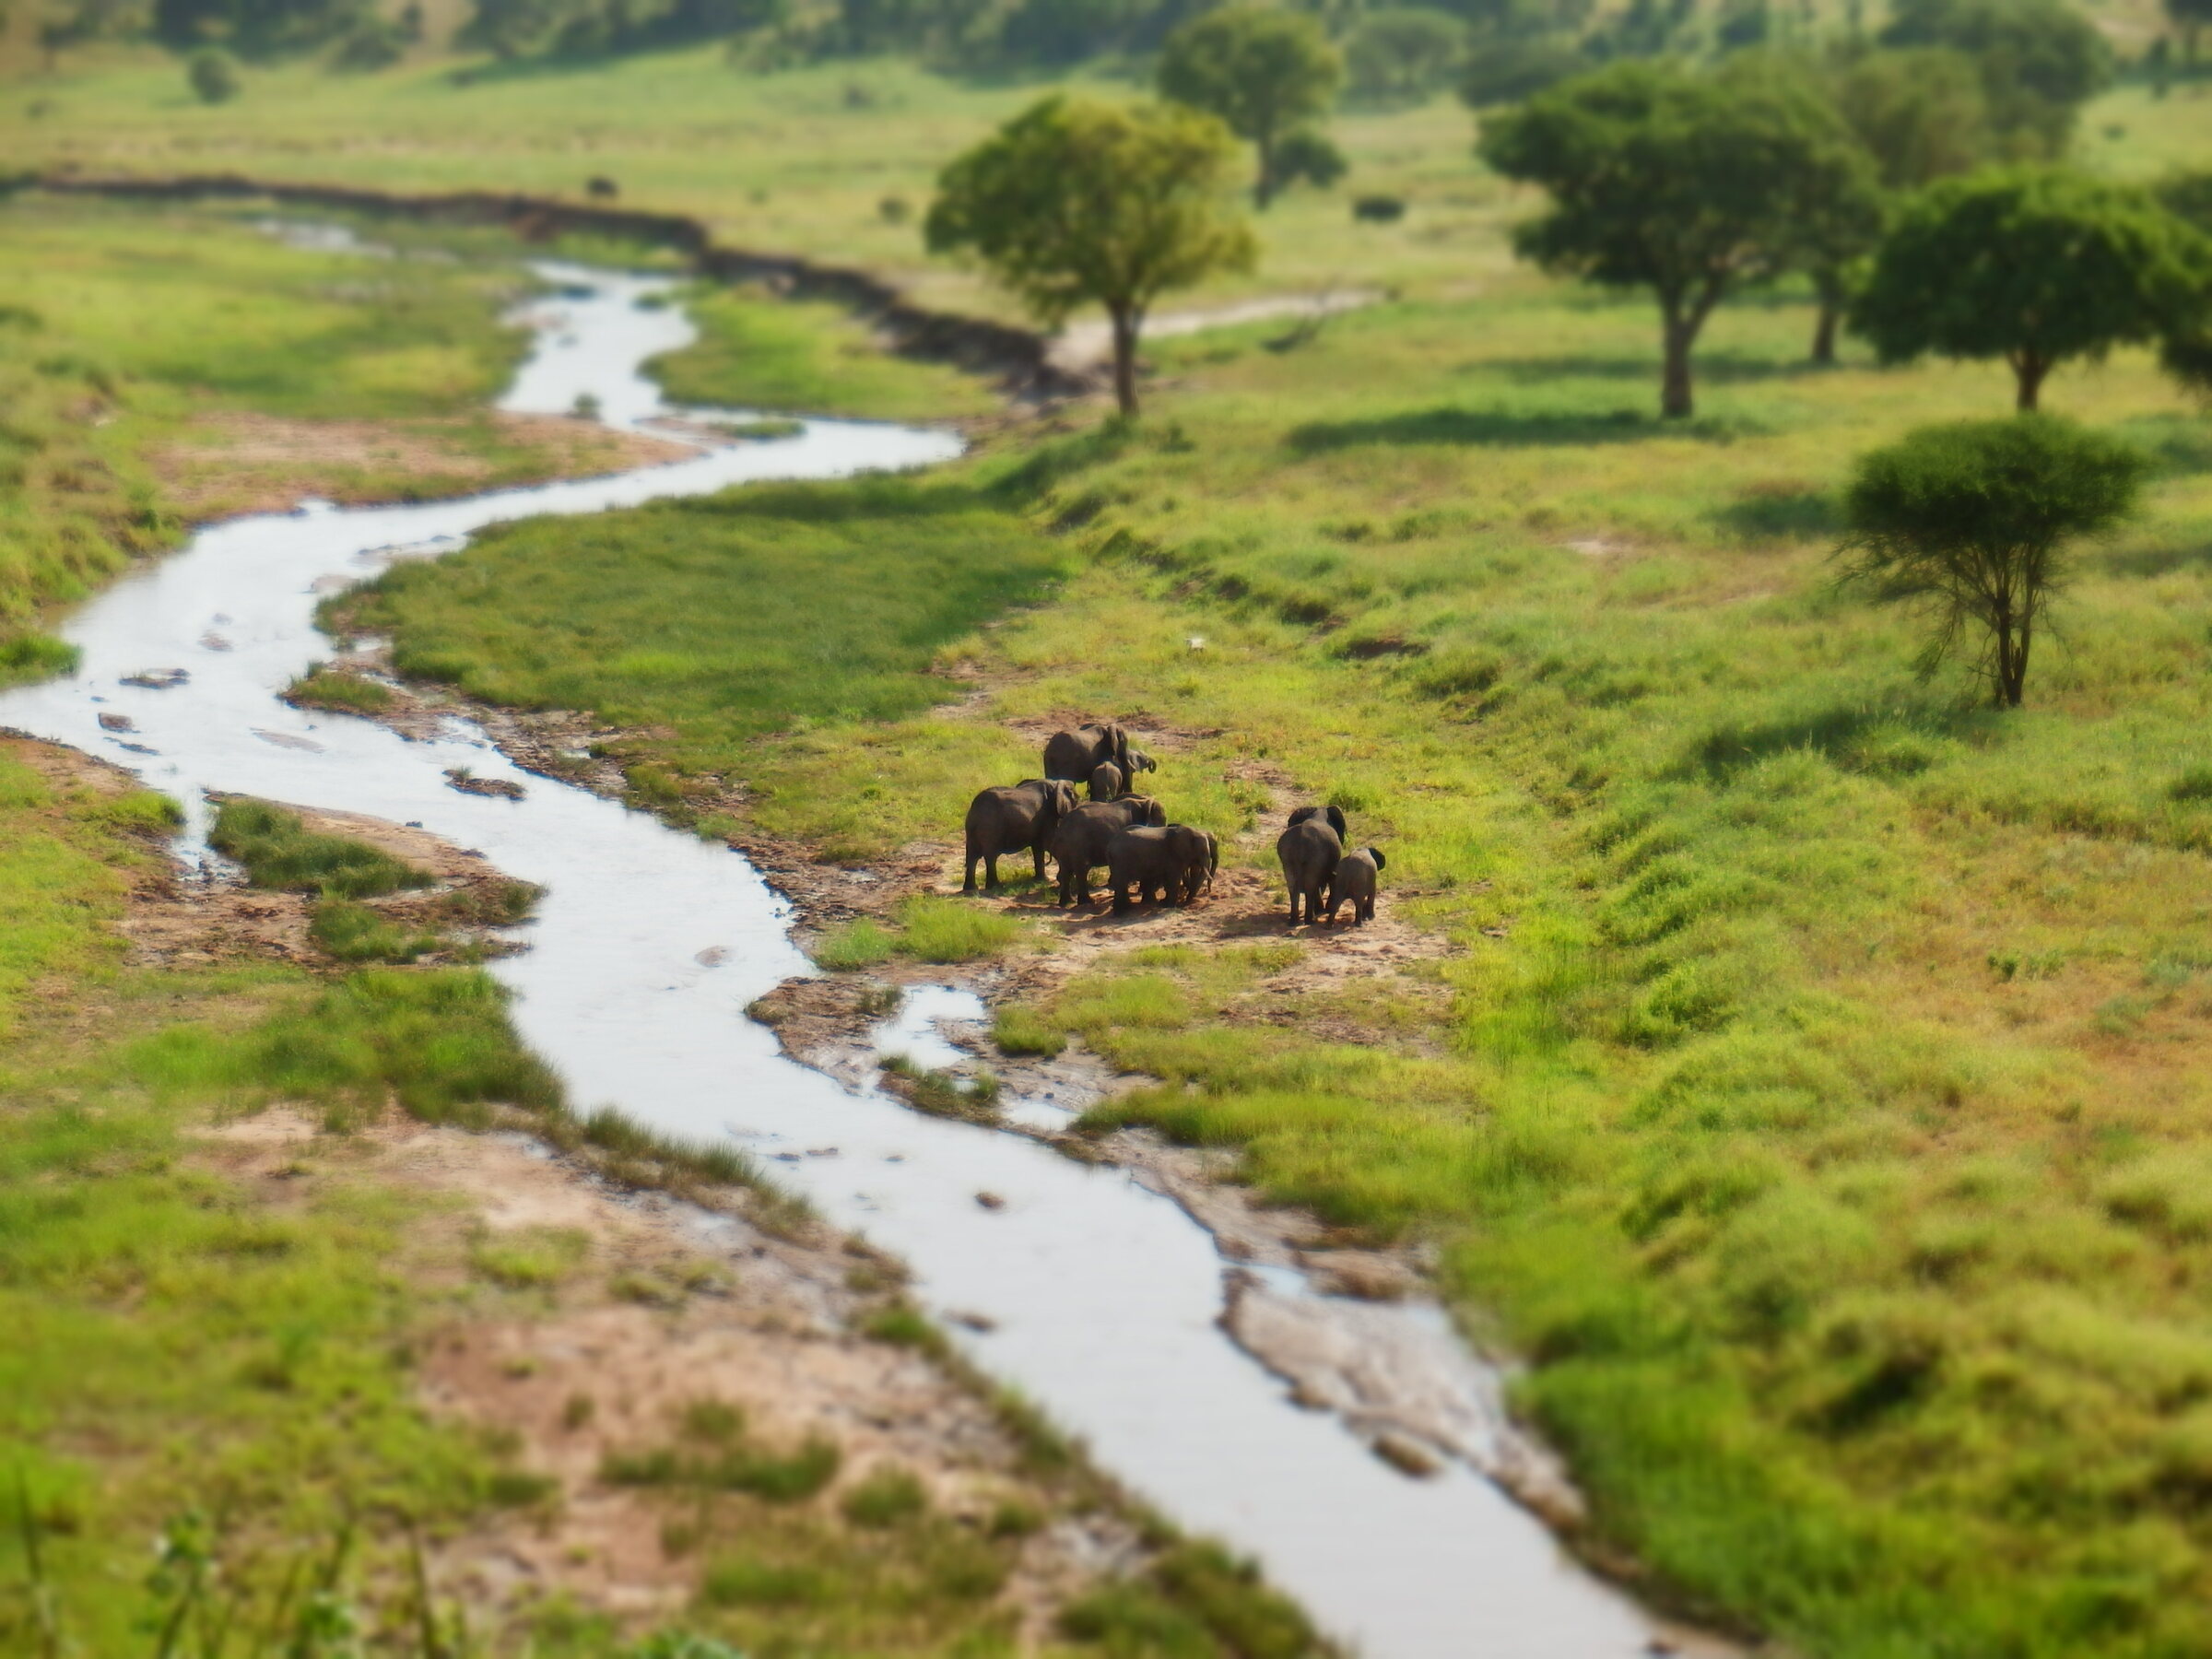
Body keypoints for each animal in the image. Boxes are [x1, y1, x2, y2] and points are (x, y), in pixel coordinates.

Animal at [1275, 805, 1346, 926]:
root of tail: (1300, 840)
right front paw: (1323, 910)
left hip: (1287, 856)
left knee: (1293, 886)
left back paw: (1294, 921)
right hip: (1315, 854)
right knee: (1311, 885)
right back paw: (1311, 920)